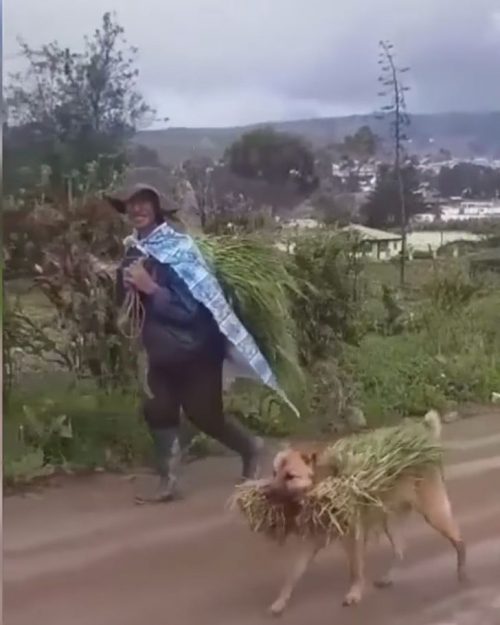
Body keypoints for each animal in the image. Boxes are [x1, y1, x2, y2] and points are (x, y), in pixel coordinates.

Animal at [264, 410, 466, 616]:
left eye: (290, 476)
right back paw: (388, 577)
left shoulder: (353, 538)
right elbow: (292, 575)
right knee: (400, 550)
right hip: (390, 523)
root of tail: (424, 439)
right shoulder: (310, 542)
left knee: (459, 540)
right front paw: (281, 601)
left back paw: (461, 572)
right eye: (274, 473)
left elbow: (355, 570)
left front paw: (354, 593)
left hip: (434, 513)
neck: (323, 485)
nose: (266, 493)